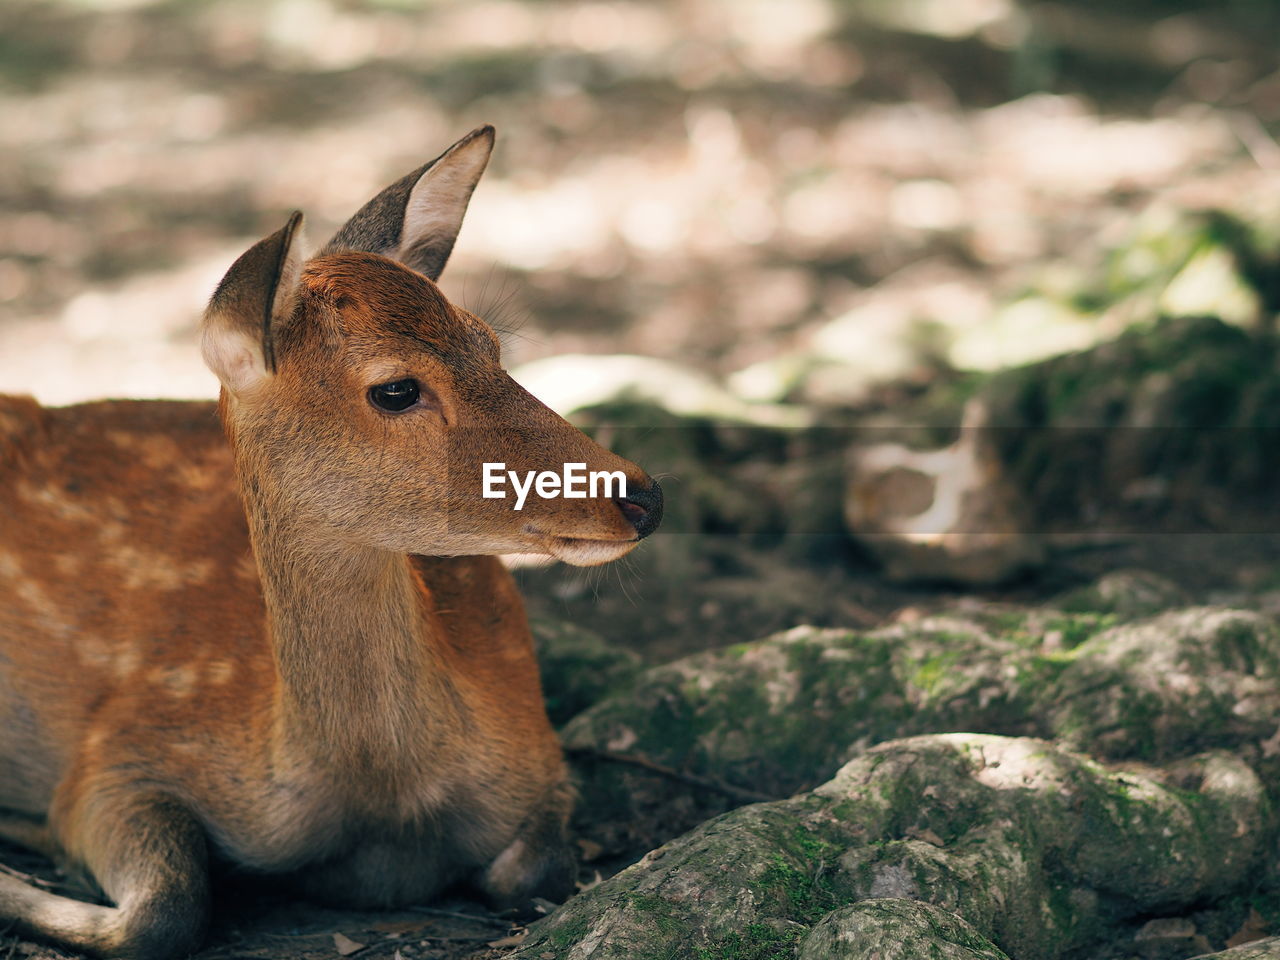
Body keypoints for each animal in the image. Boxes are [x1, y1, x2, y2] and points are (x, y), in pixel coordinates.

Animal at [0, 128, 665, 960]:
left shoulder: (536, 750)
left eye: (489, 342)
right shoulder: (120, 746)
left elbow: (532, 868)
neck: (379, 794)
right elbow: (161, 910)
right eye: (395, 389)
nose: (641, 495)